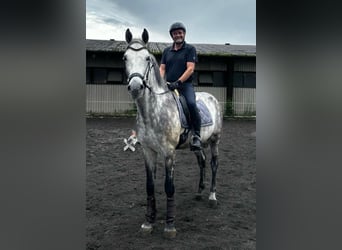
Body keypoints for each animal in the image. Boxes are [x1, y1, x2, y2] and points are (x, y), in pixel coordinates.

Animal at [124, 28, 223, 239]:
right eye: (125, 57)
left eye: (147, 58)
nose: (136, 87)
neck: (152, 111)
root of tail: (211, 97)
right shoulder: (148, 151)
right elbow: (150, 186)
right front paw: (148, 222)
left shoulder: (169, 153)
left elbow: (169, 187)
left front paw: (170, 226)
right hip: (197, 144)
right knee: (202, 161)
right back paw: (199, 192)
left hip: (215, 140)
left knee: (213, 164)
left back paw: (212, 196)